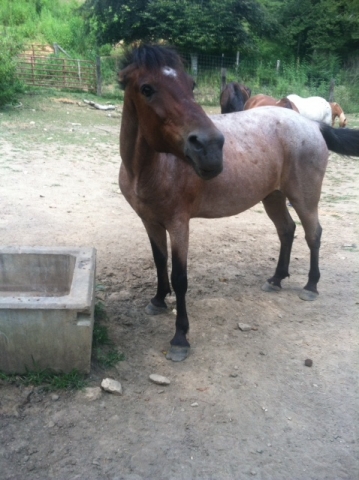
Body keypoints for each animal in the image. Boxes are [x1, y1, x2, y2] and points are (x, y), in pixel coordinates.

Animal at [119, 45, 359, 362]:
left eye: (191, 84)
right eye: (147, 88)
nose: (210, 148)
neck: (153, 167)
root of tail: (312, 125)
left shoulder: (178, 224)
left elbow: (180, 276)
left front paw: (180, 338)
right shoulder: (150, 221)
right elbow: (159, 262)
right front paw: (158, 300)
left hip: (304, 198)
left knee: (313, 234)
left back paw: (310, 286)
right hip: (273, 196)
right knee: (287, 230)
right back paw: (276, 279)